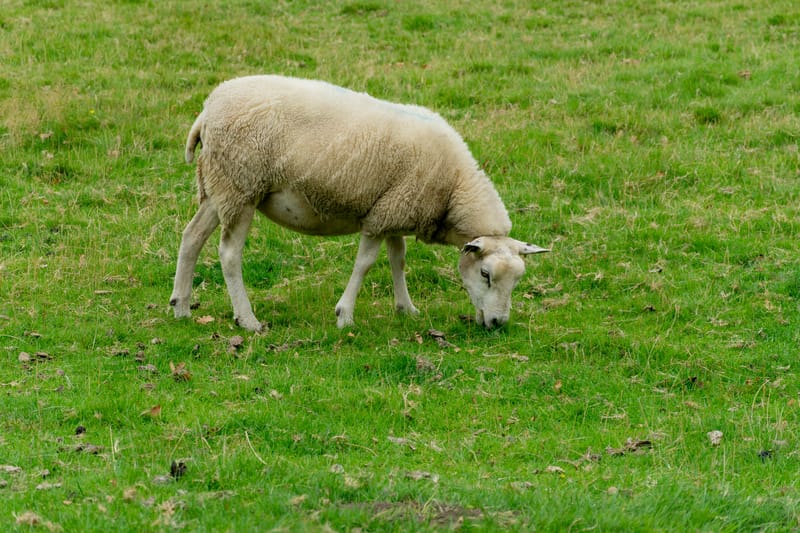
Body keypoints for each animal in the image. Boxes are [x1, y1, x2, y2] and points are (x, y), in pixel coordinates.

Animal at [169, 75, 549, 332]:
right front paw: (345, 316)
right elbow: (365, 264)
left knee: (191, 237)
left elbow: (398, 260)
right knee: (229, 253)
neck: (454, 189)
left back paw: (181, 306)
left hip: (219, 185)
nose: (498, 323)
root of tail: (208, 109)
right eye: (485, 274)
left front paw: (406, 308)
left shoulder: (396, 209)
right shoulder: (380, 217)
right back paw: (247, 319)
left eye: (517, 279)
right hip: (242, 187)